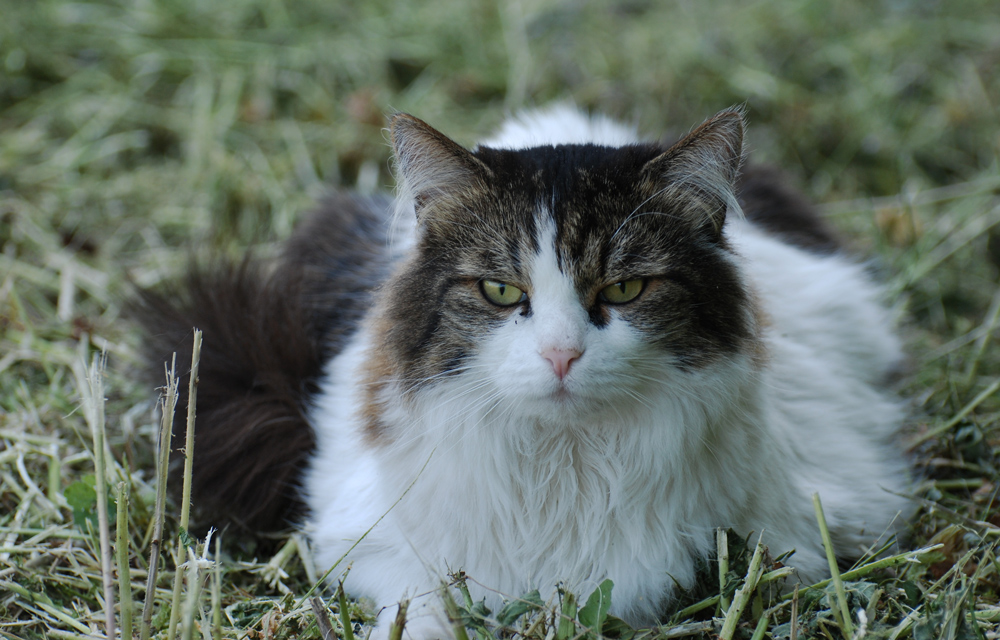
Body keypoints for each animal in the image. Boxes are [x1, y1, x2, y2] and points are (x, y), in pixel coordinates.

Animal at [139, 105, 916, 640]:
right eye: (501, 291)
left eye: (625, 290)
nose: (561, 355)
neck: (568, 463)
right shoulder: (366, 536)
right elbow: (423, 607)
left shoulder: (810, 525)